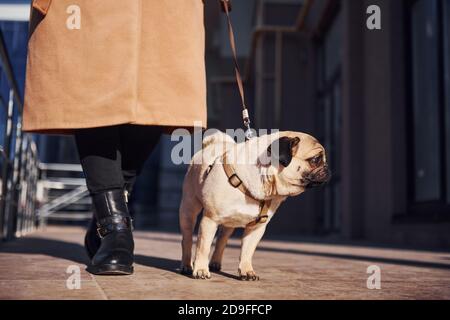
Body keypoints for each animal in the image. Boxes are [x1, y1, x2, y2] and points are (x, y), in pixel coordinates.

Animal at [179, 130, 330, 280]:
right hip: (189, 209)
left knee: (222, 239)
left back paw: (215, 263)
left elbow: (247, 251)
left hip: (229, 224)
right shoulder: (210, 220)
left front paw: (247, 271)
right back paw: (187, 265)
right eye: (315, 159)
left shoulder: (256, 228)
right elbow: (203, 247)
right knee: (187, 239)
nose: (328, 169)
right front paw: (201, 270)